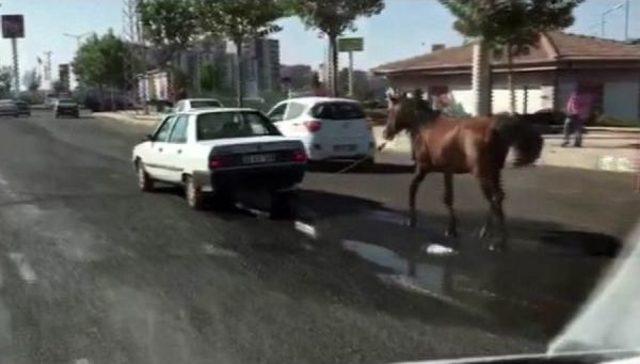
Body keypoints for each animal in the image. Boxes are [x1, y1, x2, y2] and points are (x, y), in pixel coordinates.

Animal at [382, 91, 544, 250]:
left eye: (390, 111)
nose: (386, 133)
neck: (424, 127)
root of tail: (494, 128)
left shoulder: (423, 167)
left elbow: (413, 189)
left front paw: (412, 221)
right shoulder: (447, 171)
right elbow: (448, 197)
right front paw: (451, 229)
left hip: (482, 173)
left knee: (495, 197)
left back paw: (496, 239)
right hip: (494, 171)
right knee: (499, 197)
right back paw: (489, 234)